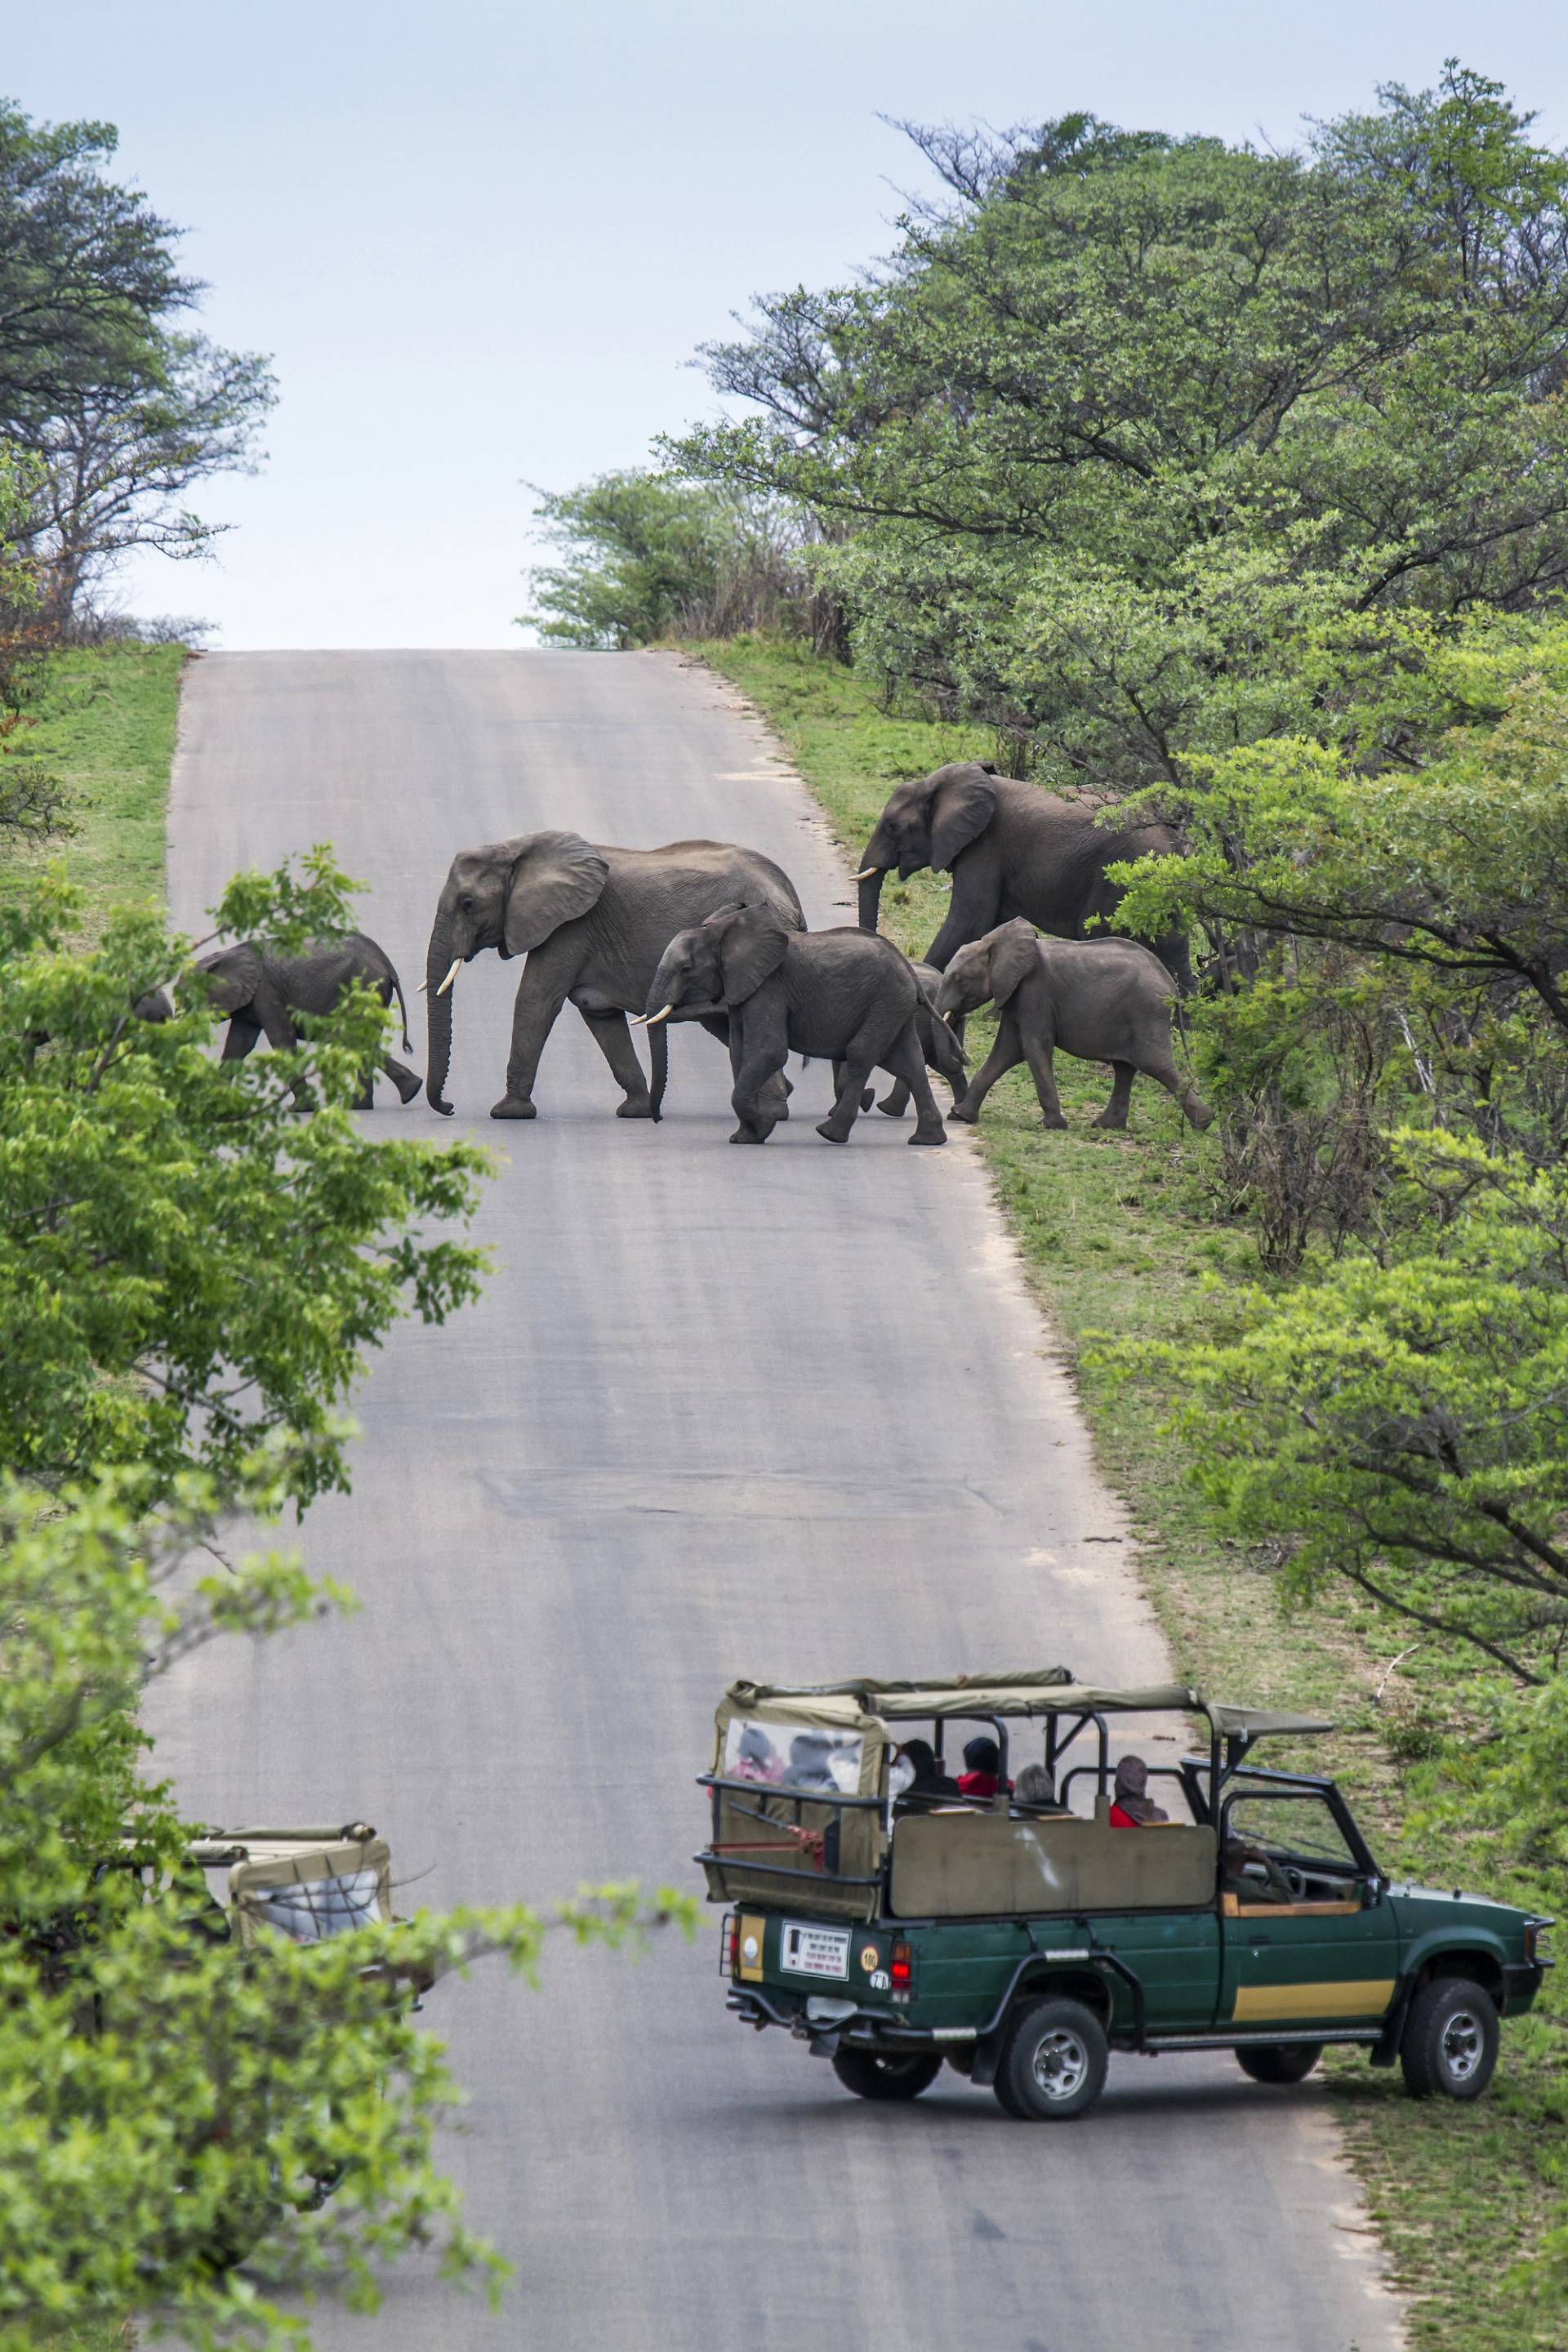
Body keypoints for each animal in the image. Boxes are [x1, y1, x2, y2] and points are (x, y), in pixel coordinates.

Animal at [135, 932, 422, 1108]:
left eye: (185, 1000)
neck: (225, 954)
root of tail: (388, 966)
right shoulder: (251, 1000)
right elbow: (239, 1044)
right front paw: (211, 1103)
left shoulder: (266, 992)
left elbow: (281, 1039)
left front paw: (300, 1109)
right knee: (358, 1041)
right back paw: (395, 1096)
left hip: (362, 988)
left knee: (352, 1039)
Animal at [423, 832, 805, 1121]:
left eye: (468, 904)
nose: (450, 1108)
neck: (514, 848)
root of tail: (788, 894)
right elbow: (600, 1015)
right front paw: (635, 1111)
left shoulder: (570, 927)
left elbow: (536, 1002)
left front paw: (507, 1113)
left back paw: (773, 1111)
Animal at [643, 904, 948, 1146]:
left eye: (685, 969)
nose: (657, 1119)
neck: (720, 932)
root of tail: (908, 968)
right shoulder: (743, 990)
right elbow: (739, 1052)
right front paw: (745, 1138)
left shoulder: (769, 988)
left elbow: (769, 1052)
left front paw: (764, 1126)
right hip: (894, 1006)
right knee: (908, 1062)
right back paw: (927, 1140)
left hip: (884, 1001)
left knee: (862, 1054)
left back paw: (829, 1134)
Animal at [854, 760, 1191, 986]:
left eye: (892, 826)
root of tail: (1171, 839)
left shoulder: (986, 847)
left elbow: (969, 918)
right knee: (1175, 946)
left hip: (1117, 880)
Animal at [934, 918, 1213, 1132]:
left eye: (958, 979)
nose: (962, 1057)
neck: (997, 943)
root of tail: (1171, 985)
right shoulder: (1016, 997)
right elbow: (1006, 1051)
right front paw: (960, 1116)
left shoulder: (1035, 994)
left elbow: (1032, 1048)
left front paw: (1052, 1126)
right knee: (1125, 1069)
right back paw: (1106, 1126)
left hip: (1146, 1012)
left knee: (1155, 1065)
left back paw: (1205, 1124)